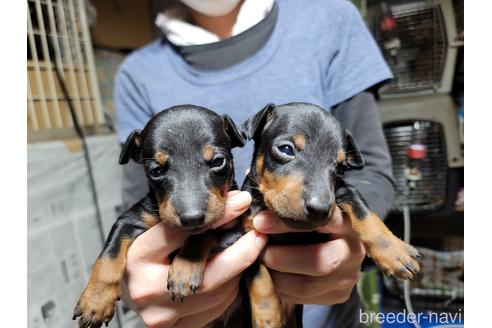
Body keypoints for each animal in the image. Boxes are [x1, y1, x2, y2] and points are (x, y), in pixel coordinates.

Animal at [73, 105, 246, 328]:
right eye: (155, 171)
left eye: (218, 161)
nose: (192, 218)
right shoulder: (130, 220)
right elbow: (108, 255)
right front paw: (96, 300)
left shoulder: (236, 231)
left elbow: (203, 234)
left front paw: (183, 269)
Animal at [240, 102, 420, 326]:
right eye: (286, 149)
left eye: (340, 167)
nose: (320, 209)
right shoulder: (245, 234)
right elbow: (259, 277)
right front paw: (268, 318)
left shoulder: (342, 190)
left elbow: (365, 213)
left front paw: (394, 252)